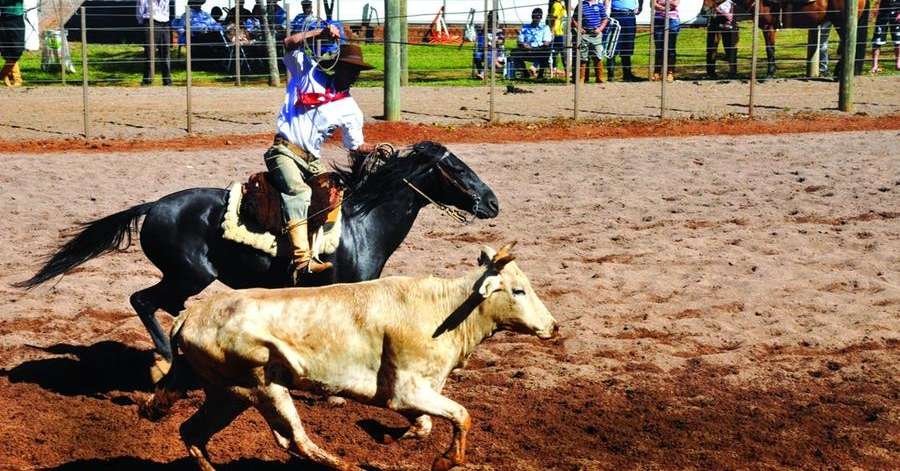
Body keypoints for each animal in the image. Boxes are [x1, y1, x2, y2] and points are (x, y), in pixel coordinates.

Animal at [15, 142, 500, 360]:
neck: (362, 221)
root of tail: (153, 206)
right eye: (458, 169)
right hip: (188, 275)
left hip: (185, 279)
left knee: (164, 306)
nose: (492, 202)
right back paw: (169, 355)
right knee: (144, 301)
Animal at [141, 243, 556, 471]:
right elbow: (461, 415)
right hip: (262, 387)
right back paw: (345, 464)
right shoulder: (406, 391)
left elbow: (424, 424)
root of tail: (190, 315)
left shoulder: (414, 394)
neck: (442, 311)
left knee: (195, 432)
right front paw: (444, 460)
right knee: (296, 441)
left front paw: (394, 436)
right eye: (518, 290)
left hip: (230, 394)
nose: (552, 326)